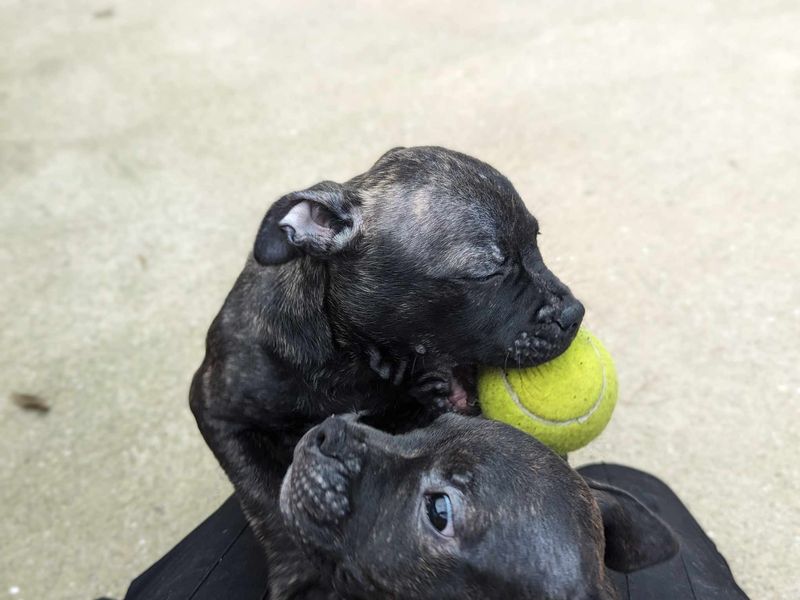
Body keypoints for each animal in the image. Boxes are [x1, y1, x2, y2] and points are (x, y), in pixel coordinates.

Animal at [191, 146, 584, 600]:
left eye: (536, 241)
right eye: (488, 273)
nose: (575, 314)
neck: (351, 358)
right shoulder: (216, 411)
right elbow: (262, 496)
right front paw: (299, 572)